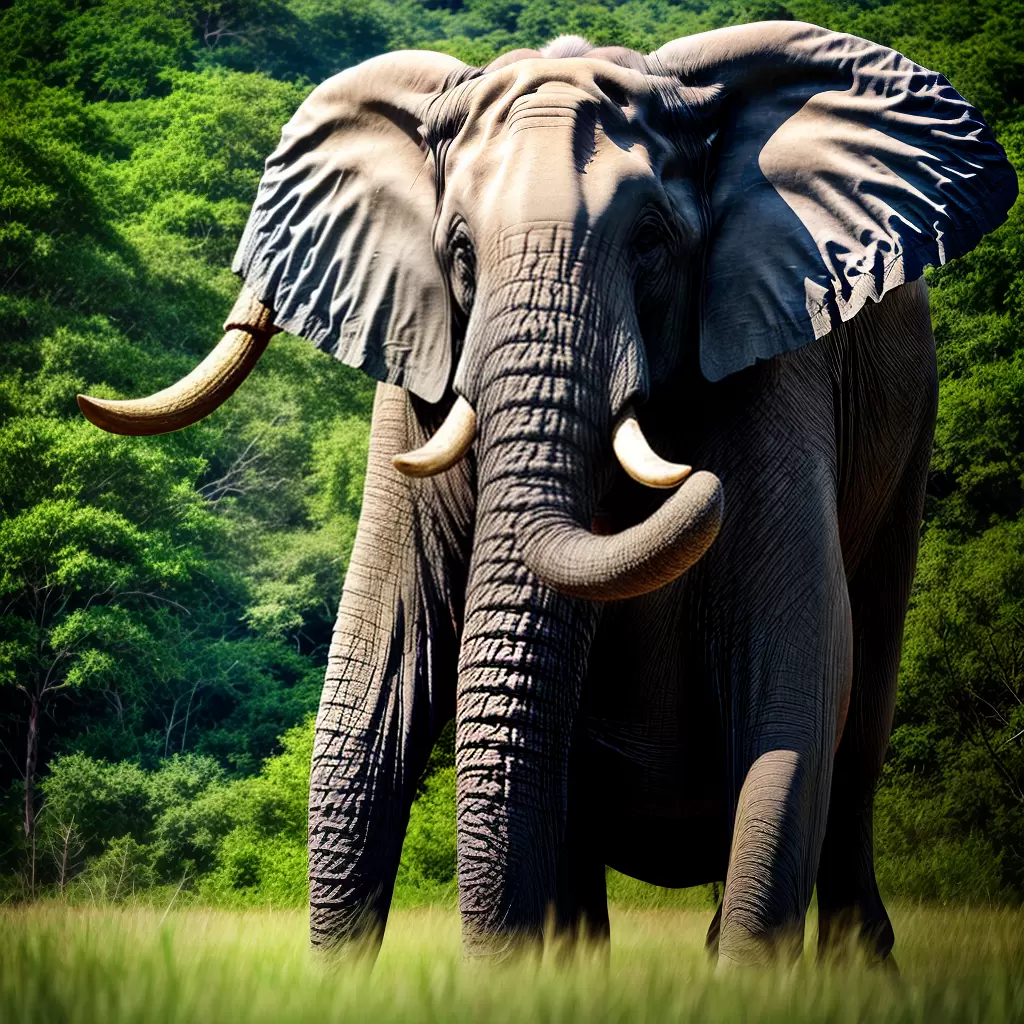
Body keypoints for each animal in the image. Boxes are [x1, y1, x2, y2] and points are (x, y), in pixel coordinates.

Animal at [78, 22, 1017, 966]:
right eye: (459, 252)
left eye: (650, 241)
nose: (692, 483)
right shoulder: (414, 382)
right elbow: (375, 681)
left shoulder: (775, 361)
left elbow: (789, 688)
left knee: (853, 749)